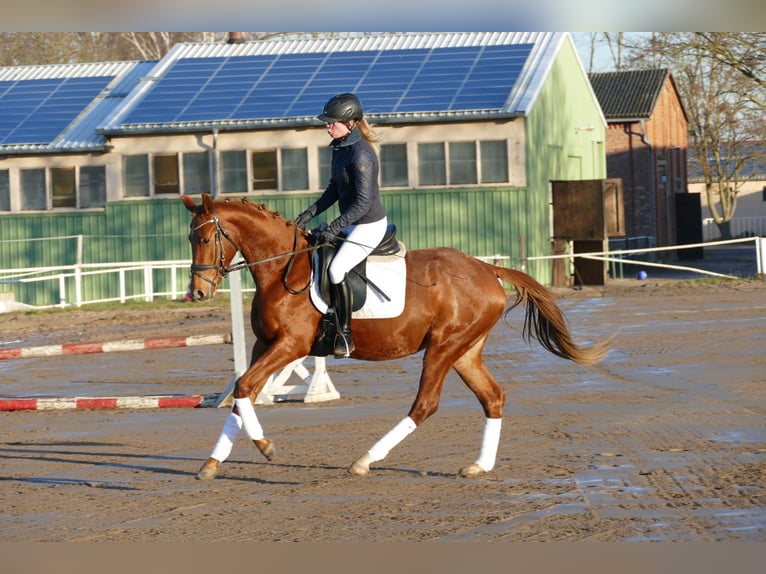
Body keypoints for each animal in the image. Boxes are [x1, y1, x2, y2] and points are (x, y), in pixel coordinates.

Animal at [182, 193, 609, 480]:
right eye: (189, 239)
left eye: (204, 239)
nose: (198, 293)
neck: (283, 269)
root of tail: (487, 269)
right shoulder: (263, 345)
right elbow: (244, 392)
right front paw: (211, 463)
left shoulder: (291, 346)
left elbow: (244, 388)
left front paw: (266, 448)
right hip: (464, 351)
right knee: (492, 397)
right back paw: (479, 466)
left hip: (442, 348)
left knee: (425, 405)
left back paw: (364, 461)